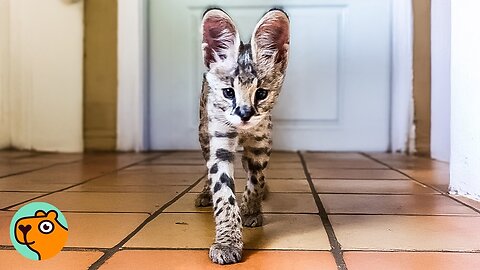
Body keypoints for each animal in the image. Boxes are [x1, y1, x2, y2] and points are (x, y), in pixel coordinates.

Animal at [194, 7, 288, 264]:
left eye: (261, 93)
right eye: (229, 92)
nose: (245, 114)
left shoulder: (261, 141)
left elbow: (256, 179)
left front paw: (251, 208)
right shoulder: (219, 142)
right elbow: (223, 193)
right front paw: (227, 243)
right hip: (203, 132)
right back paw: (204, 193)